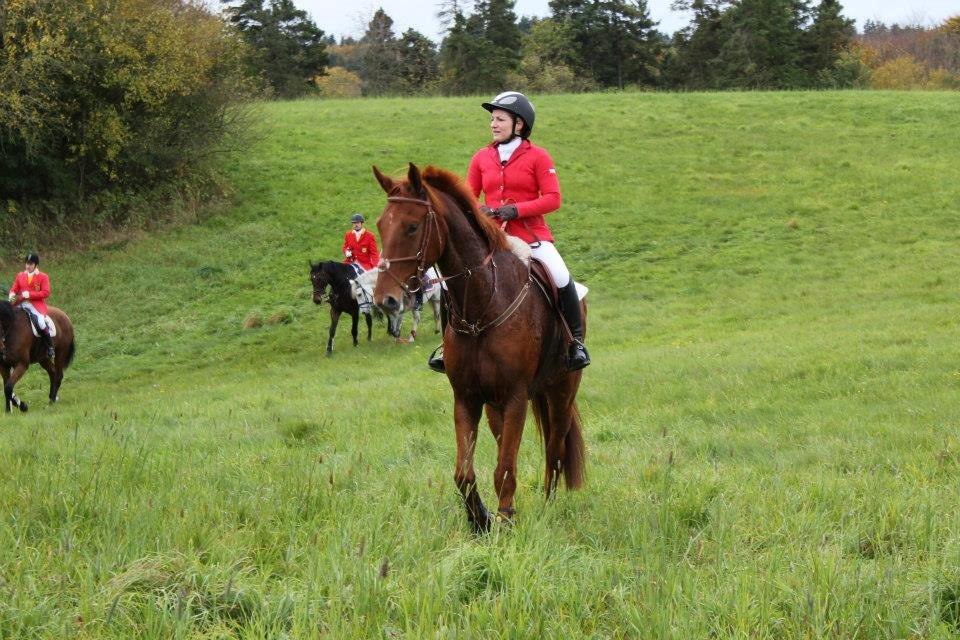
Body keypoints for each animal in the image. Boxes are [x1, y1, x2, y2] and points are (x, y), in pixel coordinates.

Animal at [374, 162, 584, 532]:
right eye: (380, 226)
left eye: (412, 226)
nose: (386, 300)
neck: (482, 304)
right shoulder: (467, 398)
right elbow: (464, 472)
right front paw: (480, 519)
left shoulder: (515, 396)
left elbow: (505, 468)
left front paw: (504, 520)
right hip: (495, 407)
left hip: (561, 392)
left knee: (554, 451)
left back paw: (548, 505)